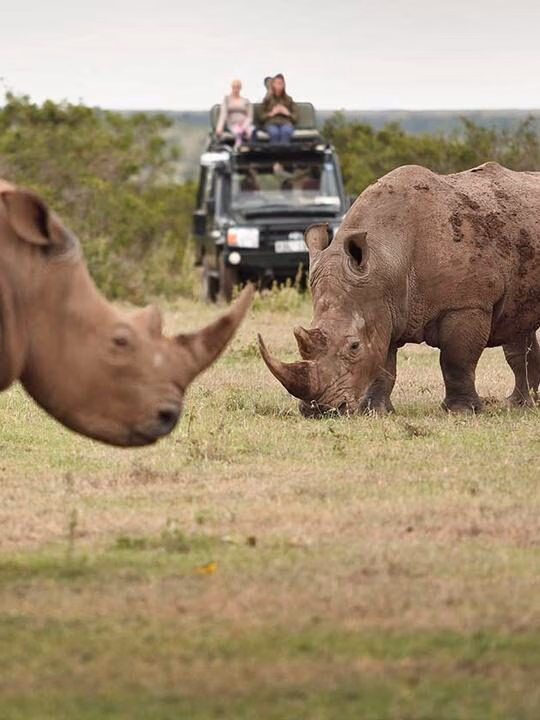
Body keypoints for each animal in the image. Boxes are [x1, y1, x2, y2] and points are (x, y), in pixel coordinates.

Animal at [259, 162, 540, 416]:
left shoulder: (467, 304)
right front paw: (375, 411)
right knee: (519, 327)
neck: (387, 257)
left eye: (354, 346)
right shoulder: (381, 306)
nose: (318, 410)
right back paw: (520, 405)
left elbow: (456, 360)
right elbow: (383, 364)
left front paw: (461, 412)